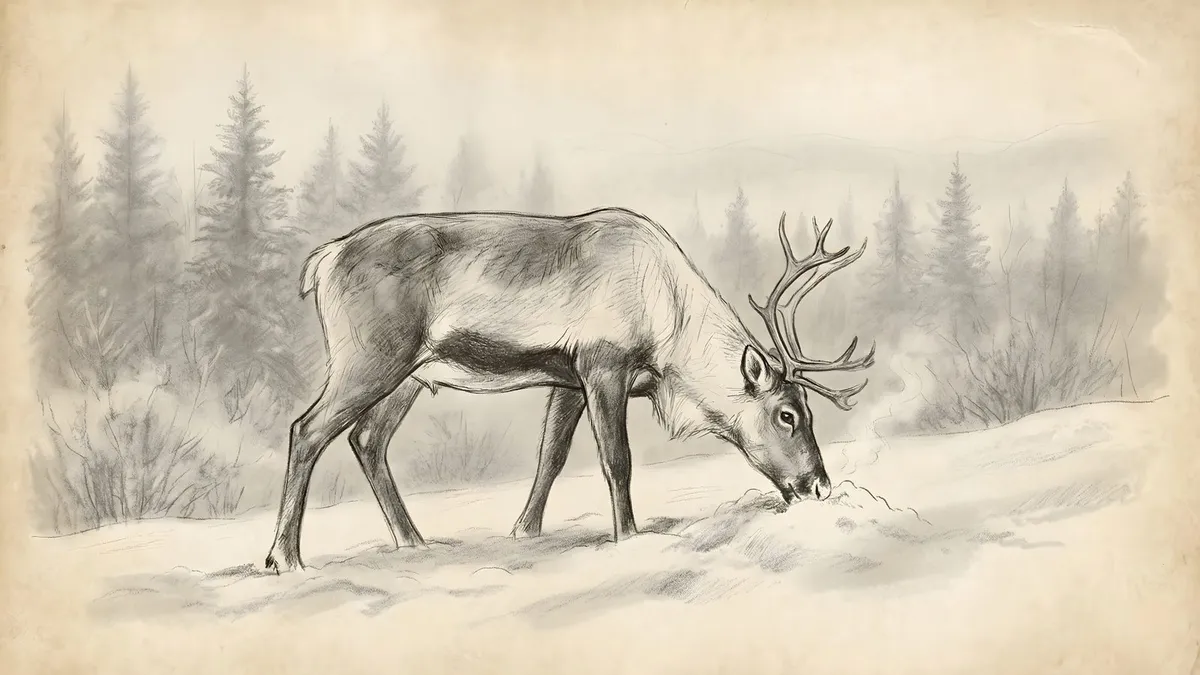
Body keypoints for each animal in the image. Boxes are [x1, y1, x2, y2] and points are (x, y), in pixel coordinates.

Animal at [264, 206, 874, 573]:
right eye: (788, 413)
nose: (819, 485)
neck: (669, 329)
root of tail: (323, 260)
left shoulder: (568, 378)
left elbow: (551, 456)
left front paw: (524, 530)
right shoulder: (603, 364)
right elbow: (616, 459)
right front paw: (628, 535)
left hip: (410, 374)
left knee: (366, 439)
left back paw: (412, 541)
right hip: (368, 358)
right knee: (307, 429)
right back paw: (284, 558)